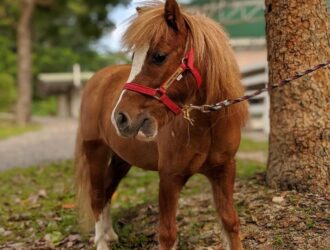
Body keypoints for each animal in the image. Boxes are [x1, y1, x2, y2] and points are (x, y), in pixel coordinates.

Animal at [76, 0, 246, 249]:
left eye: (159, 56)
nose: (120, 118)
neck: (206, 125)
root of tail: (98, 79)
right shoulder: (169, 177)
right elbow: (167, 234)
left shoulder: (224, 170)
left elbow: (230, 221)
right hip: (95, 150)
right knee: (97, 196)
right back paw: (102, 241)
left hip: (121, 159)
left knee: (107, 191)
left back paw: (110, 234)